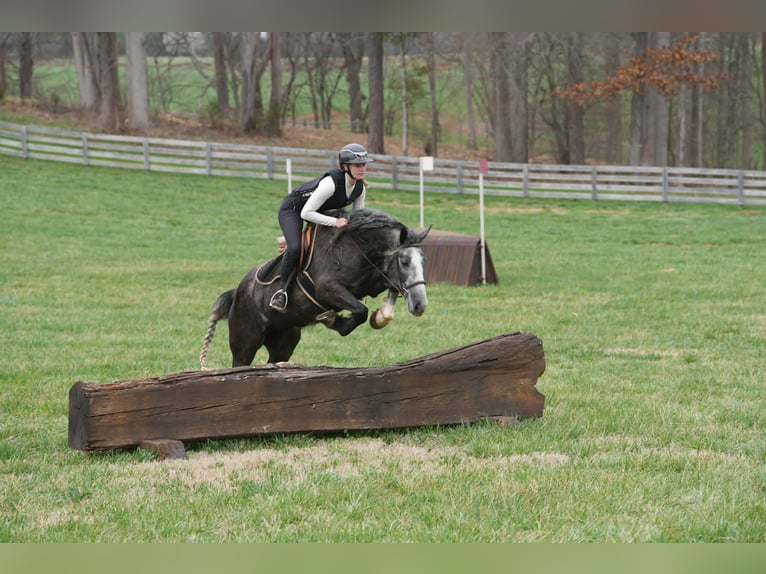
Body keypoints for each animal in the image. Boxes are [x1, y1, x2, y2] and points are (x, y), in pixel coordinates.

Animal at [199, 208, 430, 367]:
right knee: (240, 363)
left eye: (423, 261)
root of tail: (237, 292)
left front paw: (381, 316)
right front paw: (333, 320)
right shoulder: (327, 289)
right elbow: (360, 311)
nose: (420, 305)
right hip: (246, 341)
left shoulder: (374, 280)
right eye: (404, 261)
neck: (357, 248)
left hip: (284, 340)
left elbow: (387, 292)